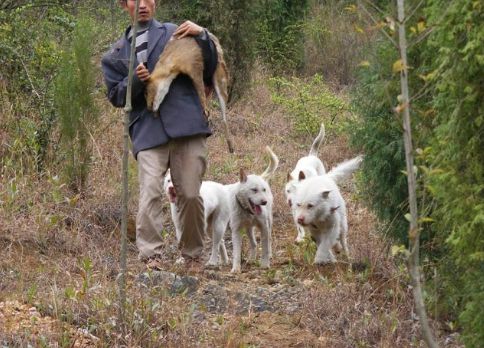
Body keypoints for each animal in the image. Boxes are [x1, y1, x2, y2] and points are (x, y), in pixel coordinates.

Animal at [227, 145, 280, 274]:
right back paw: (251, 259)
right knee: (254, 243)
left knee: (269, 240)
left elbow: (265, 249)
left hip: (269, 223)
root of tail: (260, 176)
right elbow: (236, 253)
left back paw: (269, 255)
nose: (264, 202)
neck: (249, 212)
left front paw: (265, 264)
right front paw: (236, 268)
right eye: (254, 190)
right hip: (248, 229)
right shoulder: (236, 231)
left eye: (263, 190)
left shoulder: (264, 227)